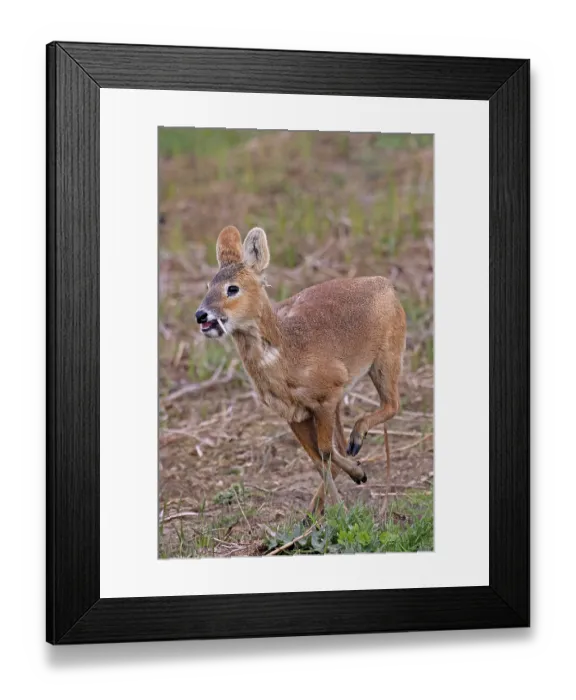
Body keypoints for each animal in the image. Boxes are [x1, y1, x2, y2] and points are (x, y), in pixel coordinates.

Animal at [195, 225, 407, 517]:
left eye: (233, 288)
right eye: (208, 285)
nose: (201, 315)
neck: (288, 357)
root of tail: (386, 285)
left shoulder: (326, 397)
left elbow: (326, 452)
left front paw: (343, 506)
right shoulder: (294, 413)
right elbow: (318, 459)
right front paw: (345, 490)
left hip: (386, 357)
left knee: (392, 405)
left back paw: (357, 442)